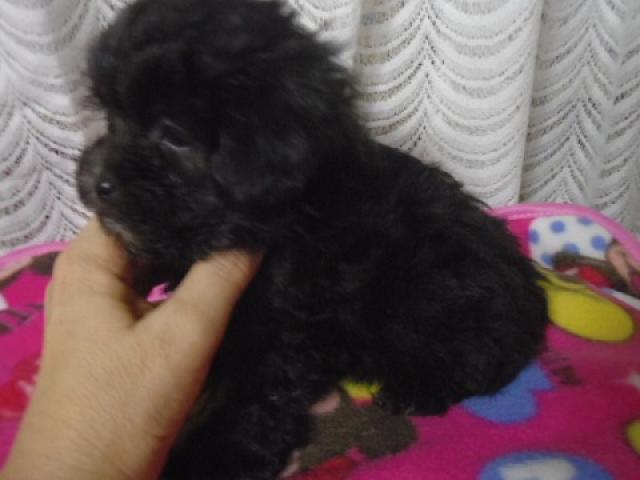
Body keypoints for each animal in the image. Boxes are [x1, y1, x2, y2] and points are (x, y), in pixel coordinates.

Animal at [76, 0, 549, 478]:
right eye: (113, 120)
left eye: (174, 136)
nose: (99, 183)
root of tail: (527, 290)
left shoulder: (280, 325)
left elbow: (246, 396)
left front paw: (206, 459)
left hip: (426, 293)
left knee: (482, 357)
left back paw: (415, 388)